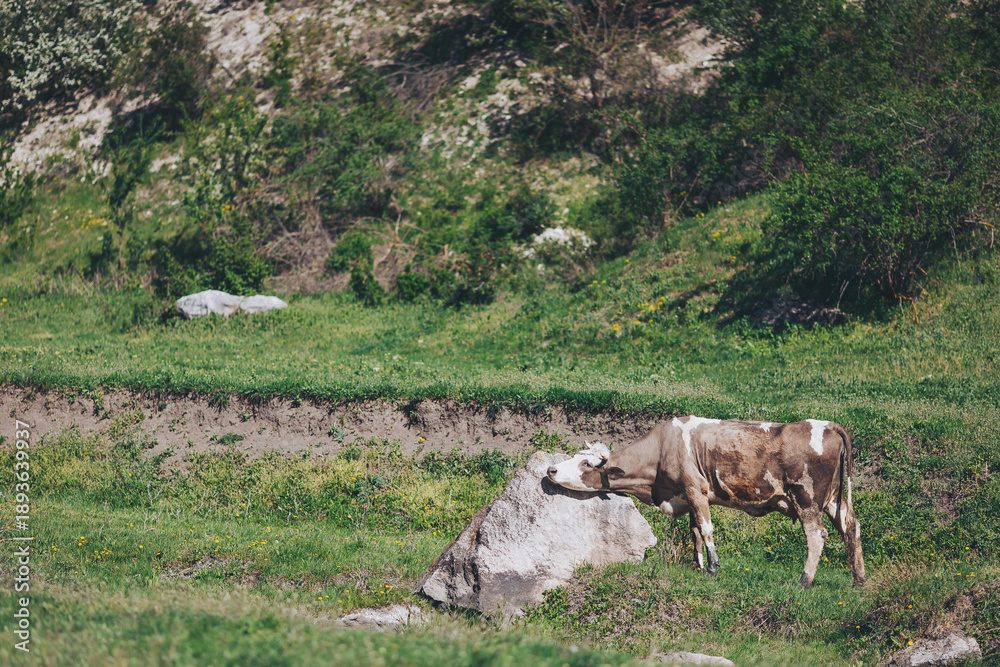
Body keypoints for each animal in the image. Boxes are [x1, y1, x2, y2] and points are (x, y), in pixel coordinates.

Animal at [546, 416, 866, 587]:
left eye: (586, 463)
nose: (551, 470)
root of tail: (828, 425)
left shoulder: (695, 489)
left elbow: (706, 527)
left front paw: (712, 566)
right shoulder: (687, 496)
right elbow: (695, 532)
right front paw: (697, 566)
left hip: (807, 497)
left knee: (817, 535)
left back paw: (803, 580)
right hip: (834, 498)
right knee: (851, 527)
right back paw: (859, 578)